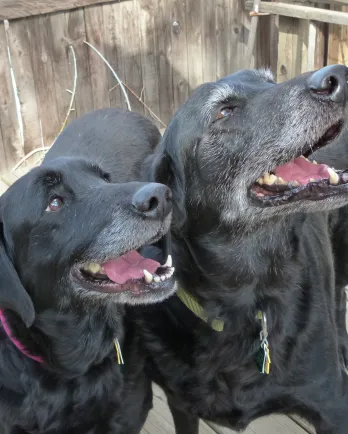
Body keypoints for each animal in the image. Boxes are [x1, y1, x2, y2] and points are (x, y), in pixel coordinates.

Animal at [133, 65, 348, 434]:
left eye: (270, 81)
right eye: (224, 111)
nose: (337, 76)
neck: (249, 299)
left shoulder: (332, 407)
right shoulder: (181, 404)